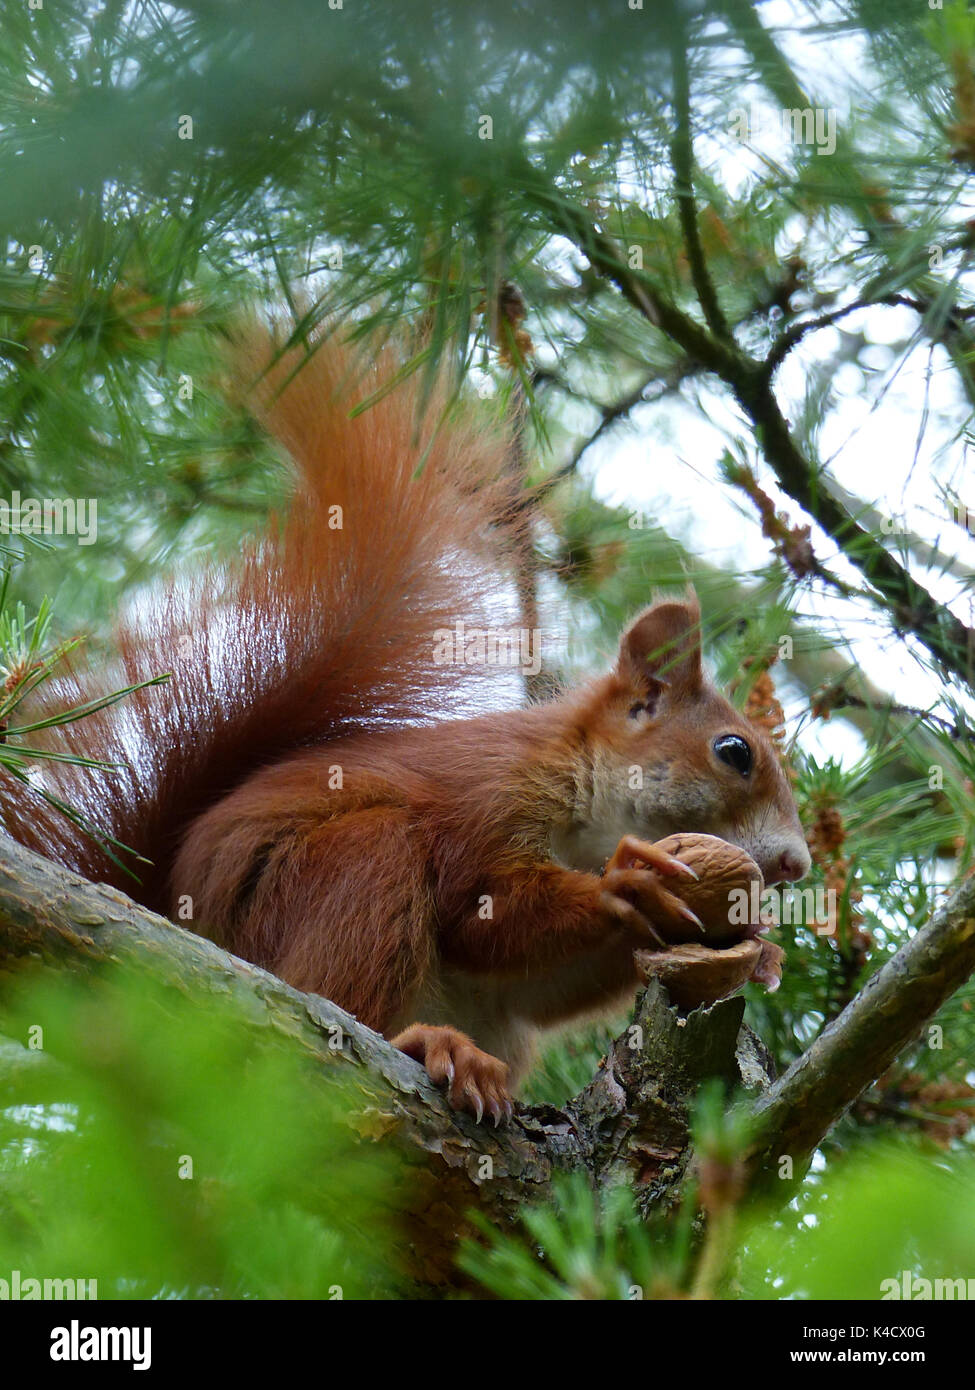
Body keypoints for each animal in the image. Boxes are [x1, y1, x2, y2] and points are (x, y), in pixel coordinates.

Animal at [0, 329, 810, 1123]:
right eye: (734, 752)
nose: (799, 865)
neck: (589, 809)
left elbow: (545, 986)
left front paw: (756, 948)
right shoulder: (486, 800)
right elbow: (476, 914)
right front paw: (627, 884)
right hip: (322, 883)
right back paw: (426, 1044)